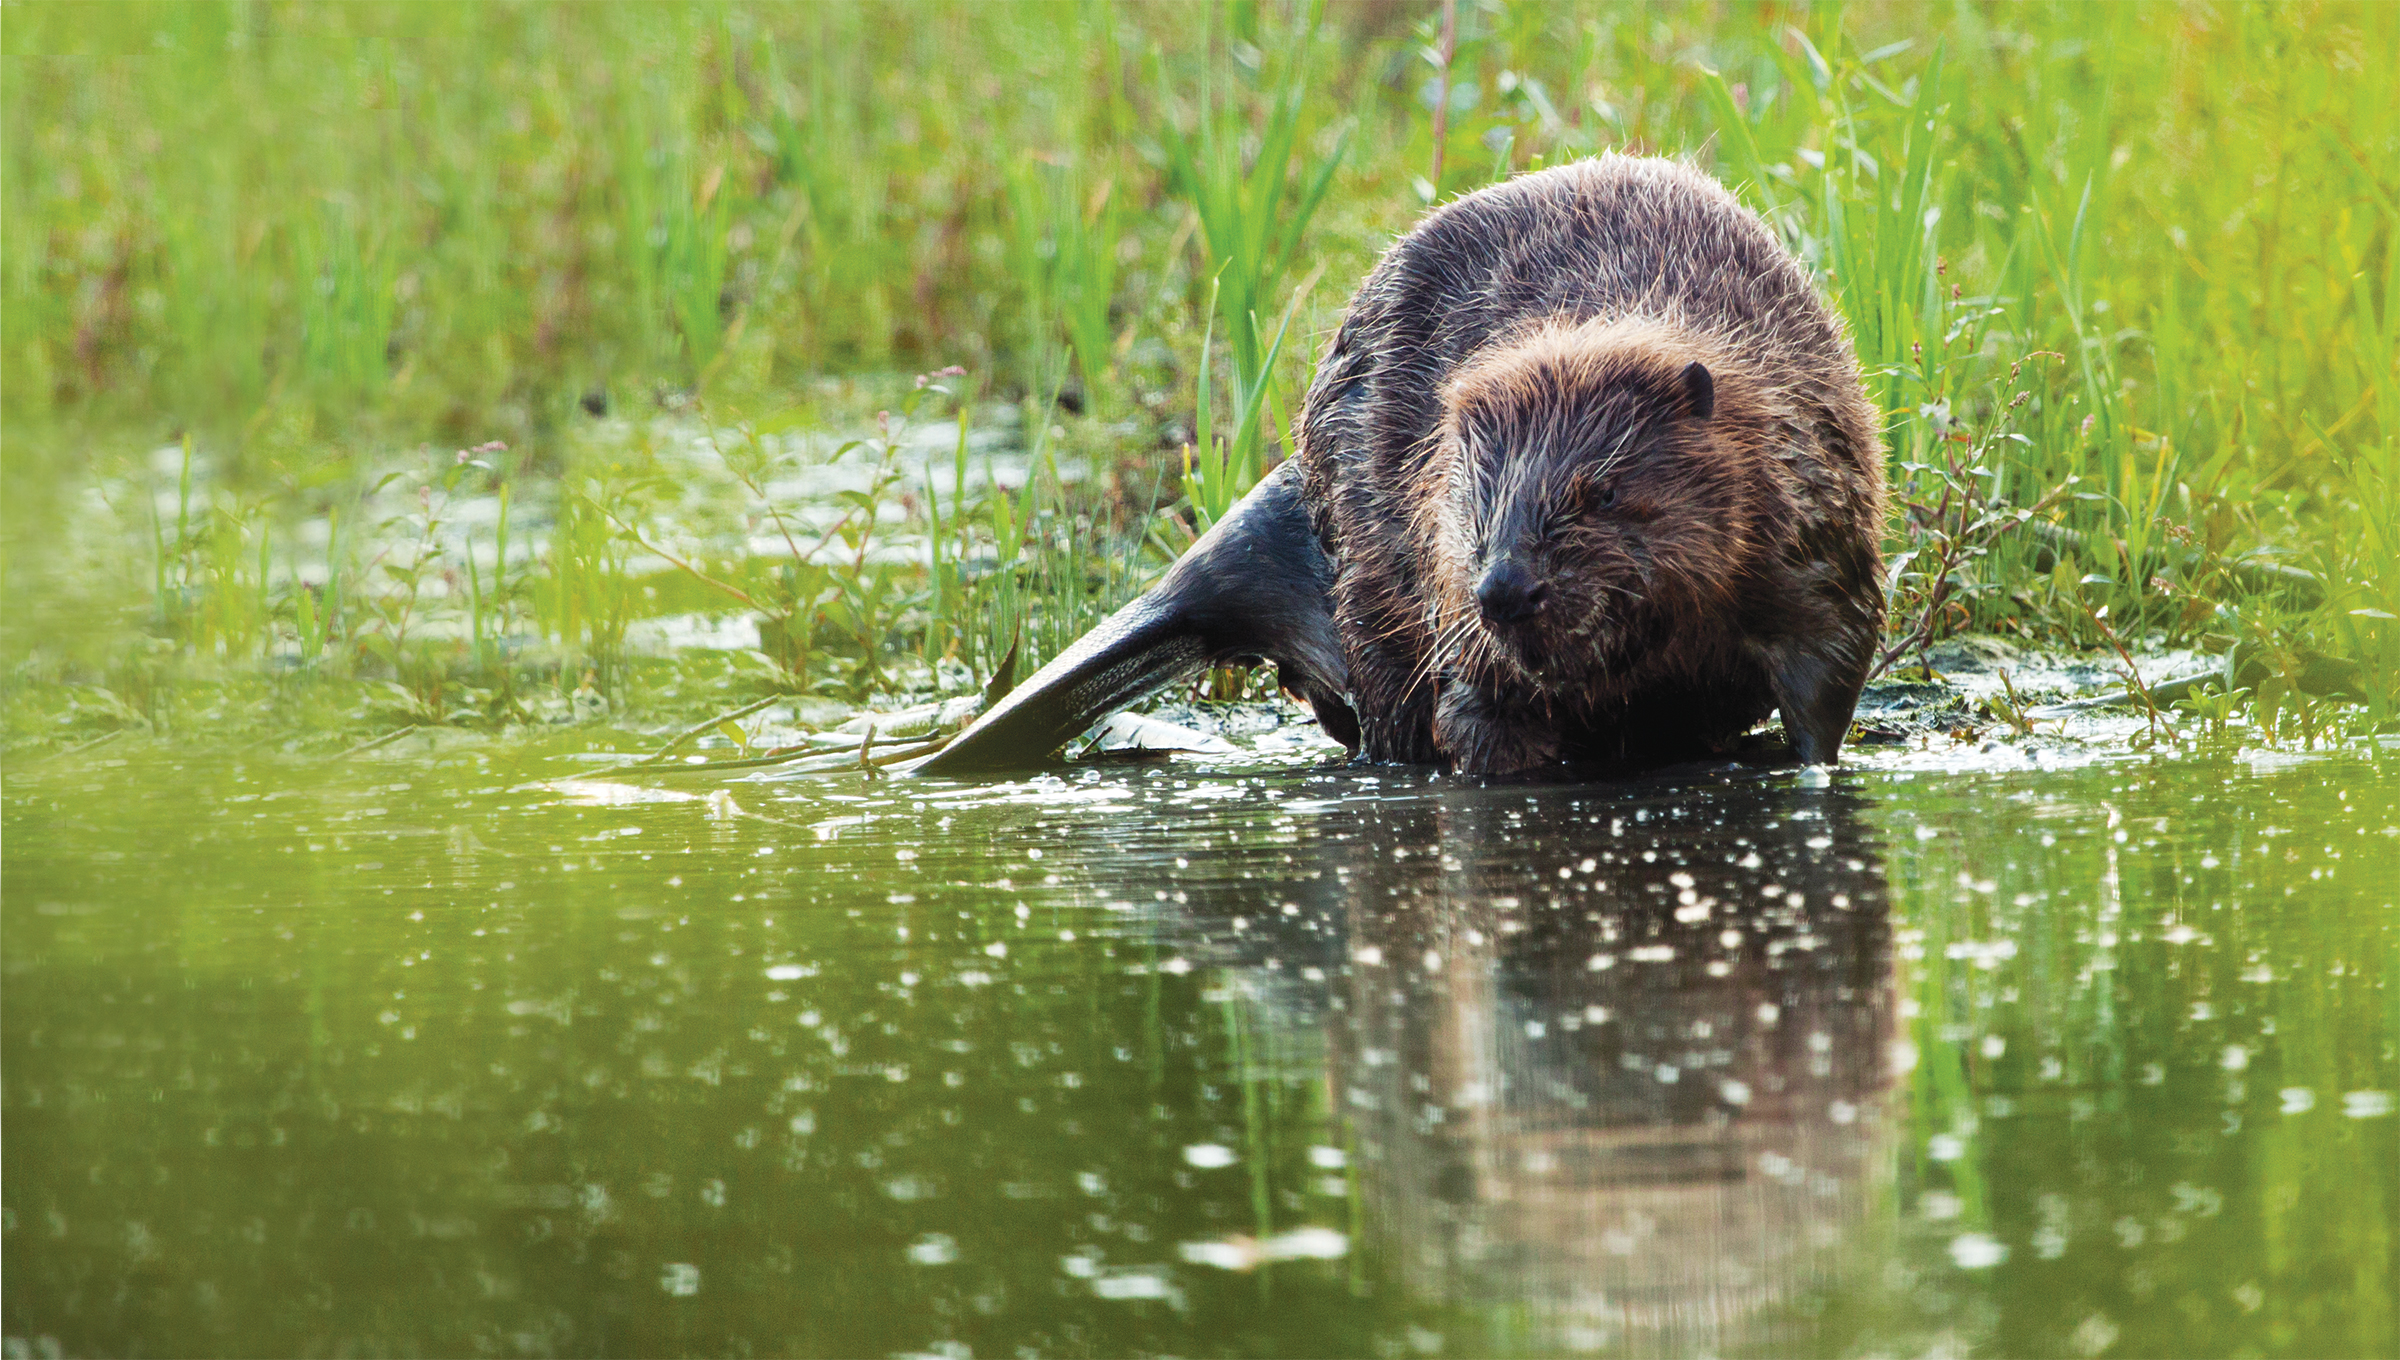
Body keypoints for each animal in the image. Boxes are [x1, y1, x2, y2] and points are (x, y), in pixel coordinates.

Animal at [916, 154, 1872, 777]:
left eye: (1599, 490)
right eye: (1473, 504)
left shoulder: (1810, 509)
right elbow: (1475, 720)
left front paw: (1809, 769)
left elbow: (1828, 669)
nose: (1505, 589)